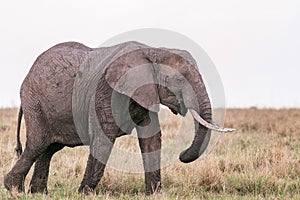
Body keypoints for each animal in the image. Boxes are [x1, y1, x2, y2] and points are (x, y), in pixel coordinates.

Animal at [3, 41, 236, 195]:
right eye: (177, 79)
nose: (182, 154)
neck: (153, 50)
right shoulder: (106, 93)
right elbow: (102, 139)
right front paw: (84, 193)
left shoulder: (144, 93)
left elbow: (151, 139)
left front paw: (154, 194)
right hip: (35, 103)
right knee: (37, 145)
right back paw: (14, 189)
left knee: (48, 149)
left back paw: (38, 193)